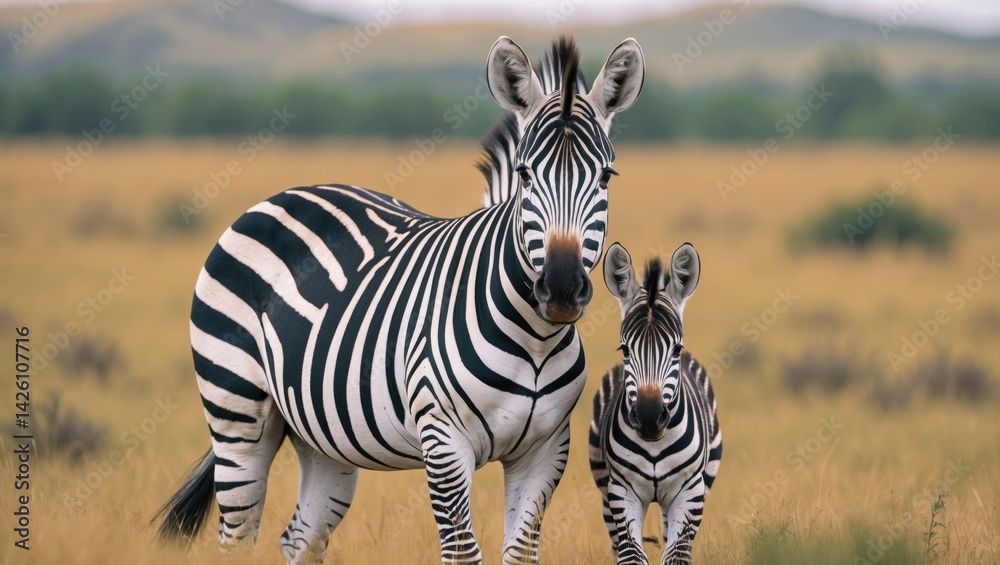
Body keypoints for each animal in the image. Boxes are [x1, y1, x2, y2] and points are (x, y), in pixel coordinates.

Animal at [154, 35, 645, 565]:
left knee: (299, 538)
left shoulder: (545, 450)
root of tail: (282, 195)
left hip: (319, 435)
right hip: (237, 414)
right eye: (525, 174)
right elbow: (463, 552)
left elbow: (518, 553)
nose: (560, 287)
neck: (534, 339)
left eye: (607, 177)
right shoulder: (444, 443)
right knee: (236, 535)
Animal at [589, 242, 723, 564]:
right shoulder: (622, 491)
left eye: (677, 348)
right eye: (625, 349)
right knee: (618, 545)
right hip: (604, 489)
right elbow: (632, 556)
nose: (649, 419)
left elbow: (676, 555)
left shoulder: (689, 492)